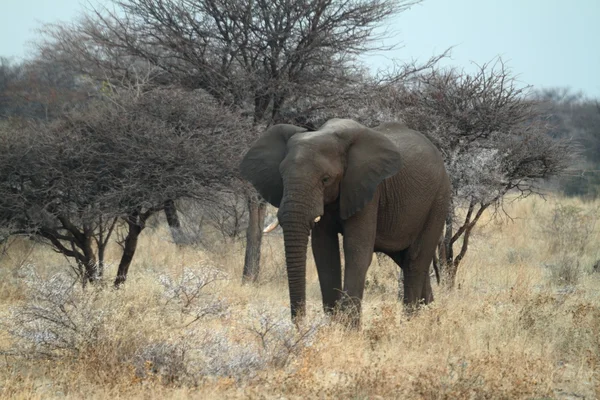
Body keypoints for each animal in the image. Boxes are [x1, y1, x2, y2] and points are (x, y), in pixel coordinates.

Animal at [239, 118, 450, 324]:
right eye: (282, 177)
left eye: (325, 179)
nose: (300, 324)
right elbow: (324, 251)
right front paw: (333, 325)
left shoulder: (367, 190)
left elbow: (356, 251)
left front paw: (348, 327)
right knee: (406, 260)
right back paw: (432, 319)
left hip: (438, 200)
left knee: (415, 260)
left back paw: (411, 323)